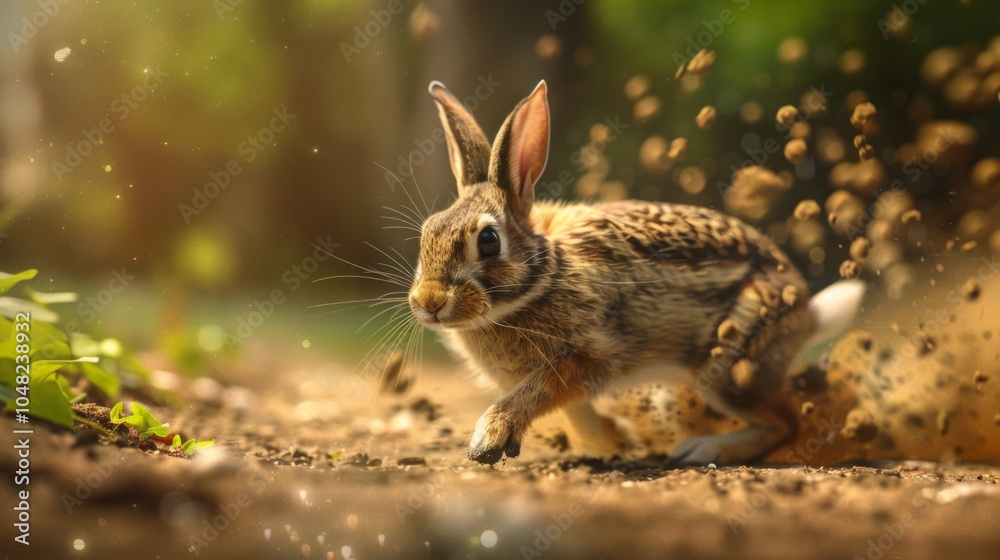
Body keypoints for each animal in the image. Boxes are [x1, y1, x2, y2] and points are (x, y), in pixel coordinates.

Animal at [408, 79, 866, 466]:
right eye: (427, 231)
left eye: (488, 241)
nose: (429, 302)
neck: (541, 280)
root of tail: (806, 312)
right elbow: (579, 416)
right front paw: (617, 443)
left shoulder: (585, 356)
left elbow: (538, 393)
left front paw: (488, 439)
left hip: (728, 364)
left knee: (785, 423)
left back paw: (701, 450)